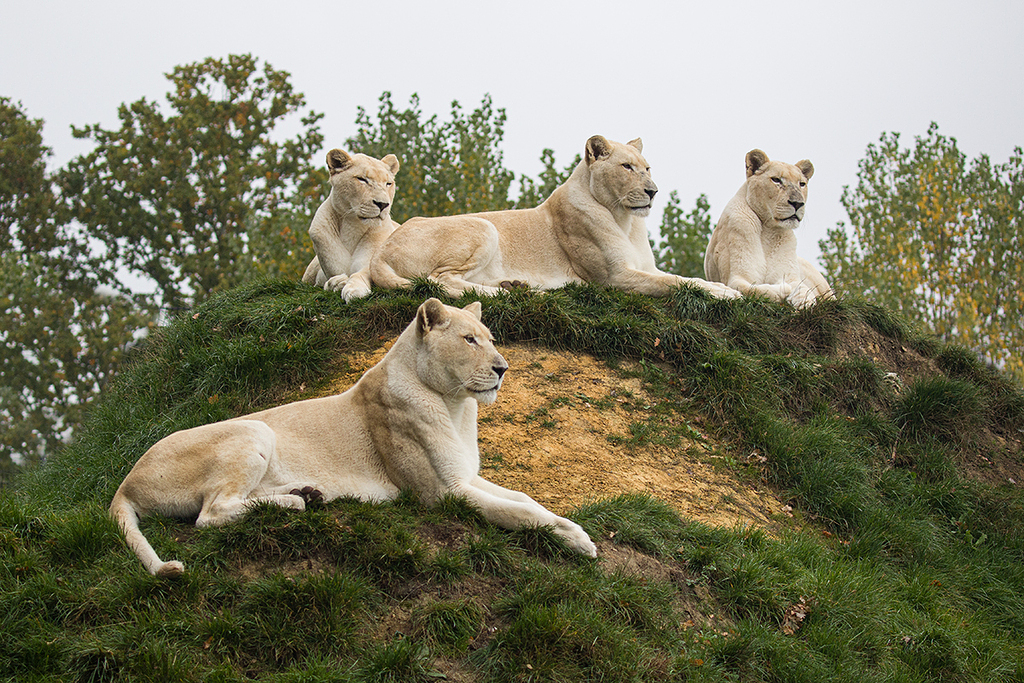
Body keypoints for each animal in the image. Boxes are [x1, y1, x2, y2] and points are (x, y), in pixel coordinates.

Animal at [109, 299, 597, 577]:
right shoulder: (441, 493)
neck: (456, 405)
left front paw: (571, 528)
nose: (502, 368)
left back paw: (305, 493)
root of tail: (124, 484)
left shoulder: (465, 476)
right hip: (253, 428)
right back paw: (296, 503)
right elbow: (518, 514)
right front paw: (576, 541)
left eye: (491, 338)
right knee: (210, 515)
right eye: (469, 340)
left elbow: (525, 498)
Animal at [301, 148, 400, 302]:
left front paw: (354, 289)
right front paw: (337, 283)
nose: (383, 204)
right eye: (362, 179)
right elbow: (331, 278)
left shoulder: (372, 261)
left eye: (388, 183)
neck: (351, 227)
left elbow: (361, 273)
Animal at [370, 136, 739, 299]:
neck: (625, 220)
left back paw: (514, 285)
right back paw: (515, 294)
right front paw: (728, 294)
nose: (653, 191)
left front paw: (720, 285)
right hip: (483, 226)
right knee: (441, 281)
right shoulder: (614, 277)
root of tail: (381, 252)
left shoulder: (645, 268)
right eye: (626, 167)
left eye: (647, 168)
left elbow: (680, 276)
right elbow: (677, 283)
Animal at [704, 149, 833, 308]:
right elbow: (755, 290)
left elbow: (803, 288)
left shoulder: (790, 274)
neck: (768, 231)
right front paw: (784, 289)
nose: (797, 203)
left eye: (802, 184)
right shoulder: (736, 278)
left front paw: (806, 302)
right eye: (776, 180)